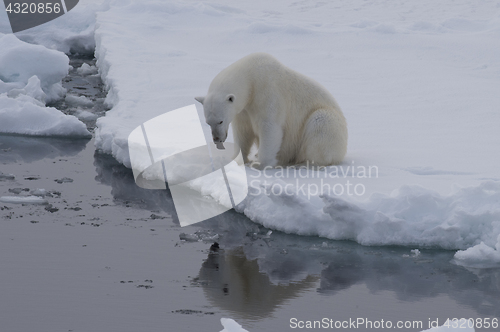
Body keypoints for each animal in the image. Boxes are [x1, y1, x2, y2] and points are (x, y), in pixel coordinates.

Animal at [195, 54, 348, 169]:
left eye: (221, 121)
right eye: (208, 122)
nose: (217, 139)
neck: (251, 78)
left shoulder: (267, 94)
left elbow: (270, 128)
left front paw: (259, 165)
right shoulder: (243, 111)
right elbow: (243, 132)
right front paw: (238, 160)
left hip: (327, 122)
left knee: (320, 127)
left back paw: (301, 164)